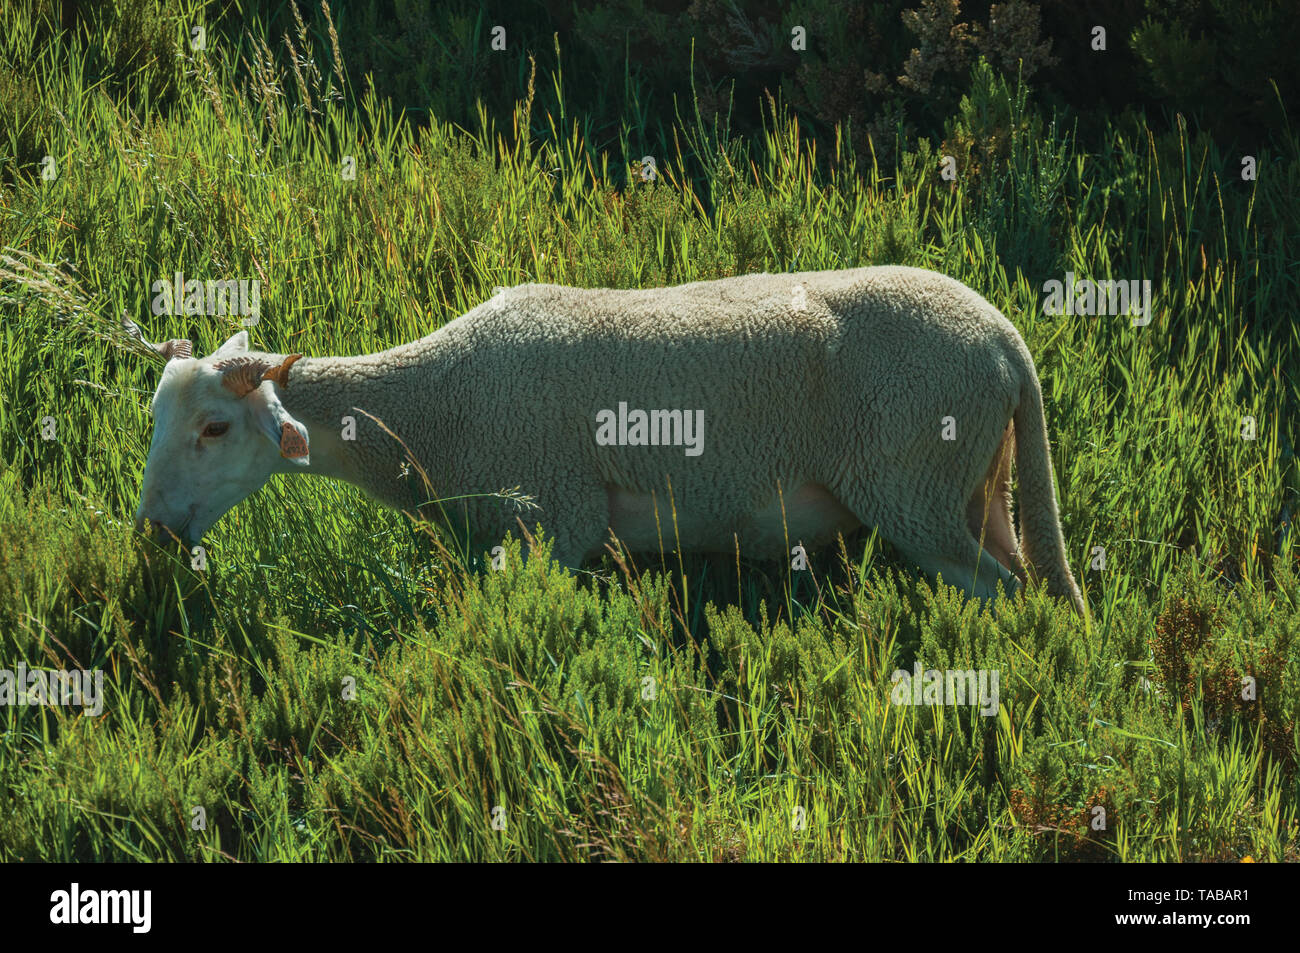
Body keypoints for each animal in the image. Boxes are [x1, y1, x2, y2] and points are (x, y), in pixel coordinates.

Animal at [131, 263, 1086, 613]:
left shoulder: (555, 519)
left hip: (914, 481)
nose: (152, 530)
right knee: (1027, 576)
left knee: (1002, 590)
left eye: (215, 426)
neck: (432, 408)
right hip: (974, 481)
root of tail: (1007, 342)